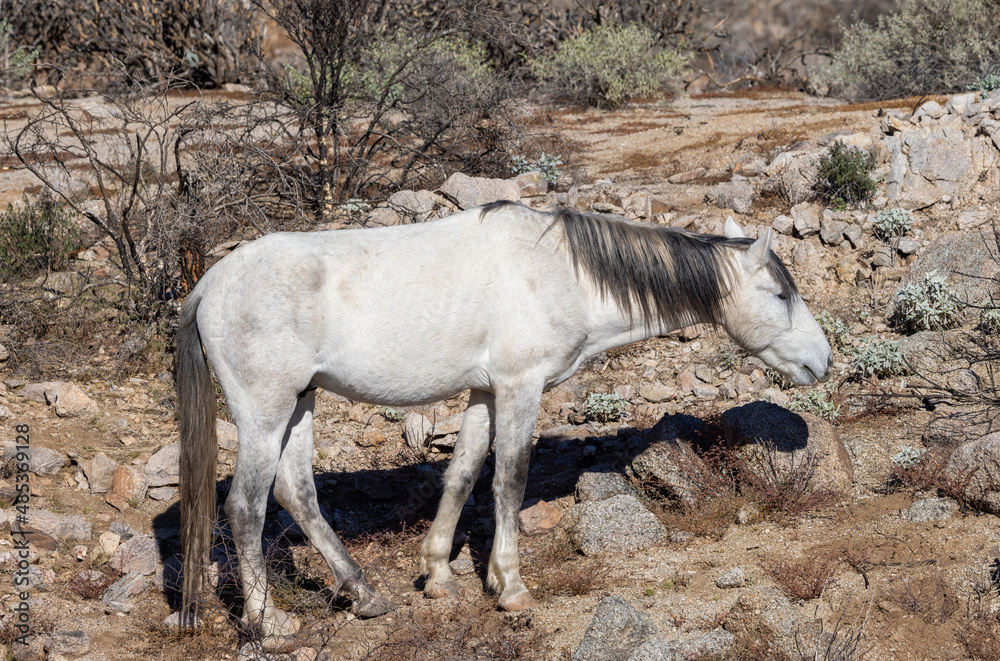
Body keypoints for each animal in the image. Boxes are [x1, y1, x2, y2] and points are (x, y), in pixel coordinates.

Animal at [174, 200, 832, 645]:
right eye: (779, 295)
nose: (821, 360)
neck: (560, 273)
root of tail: (209, 285)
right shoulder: (520, 386)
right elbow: (509, 479)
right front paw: (510, 587)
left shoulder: (486, 392)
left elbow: (464, 473)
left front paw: (438, 573)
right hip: (265, 411)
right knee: (247, 507)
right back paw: (270, 622)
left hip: (300, 403)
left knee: (298, 494)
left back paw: (364, 594)